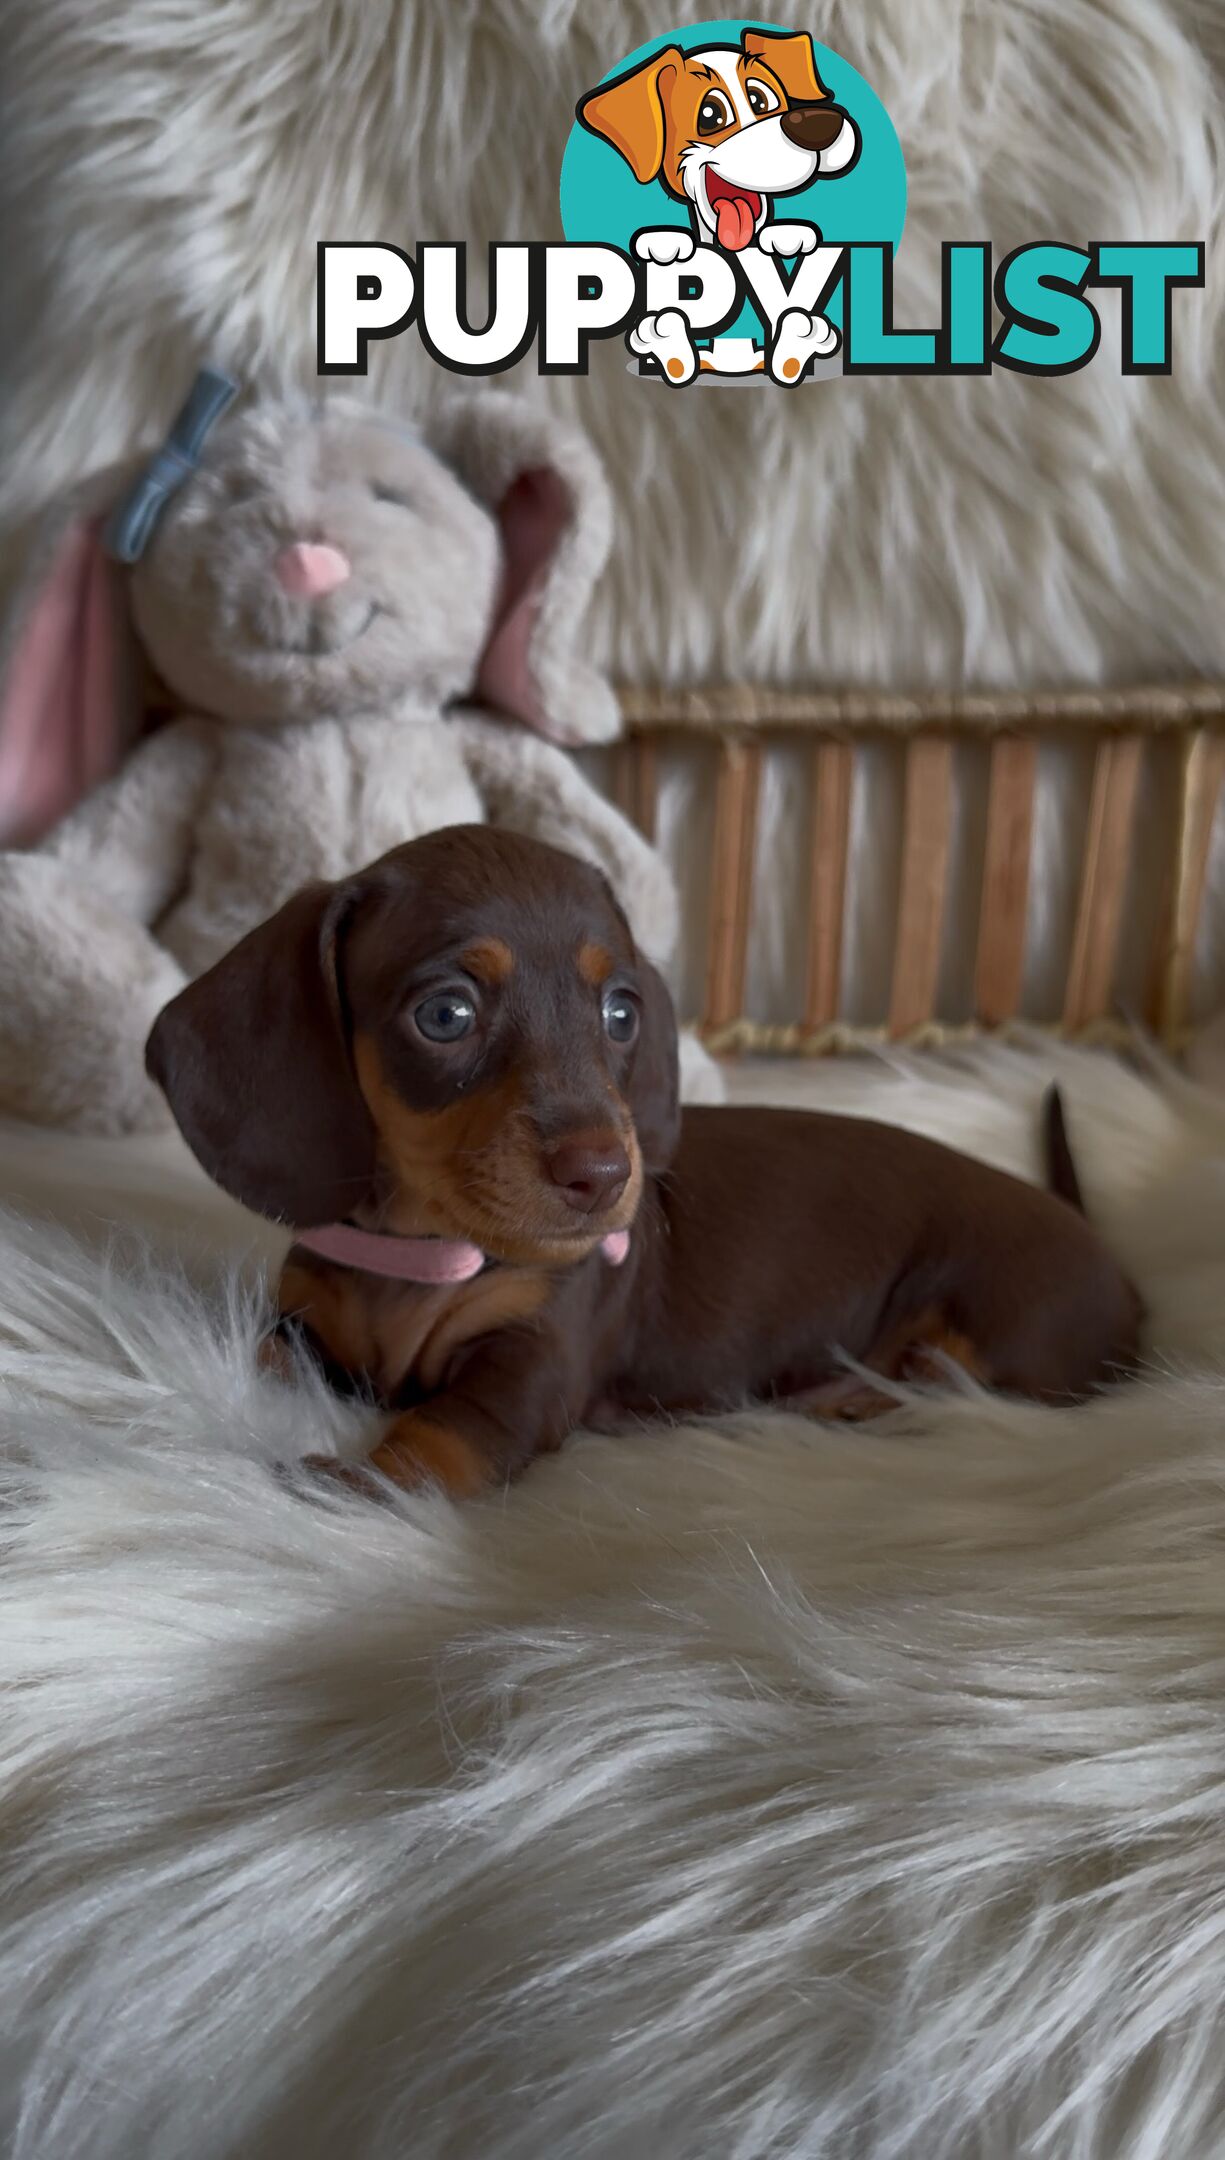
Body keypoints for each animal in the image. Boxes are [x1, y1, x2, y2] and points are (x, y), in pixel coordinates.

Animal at [149, 825, 1149, 1503]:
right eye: (445, 1015)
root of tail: (1095, 1237)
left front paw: (356, 1485)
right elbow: (265, 1353)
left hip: (1003, 1331)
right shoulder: (303, 1325)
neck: (425, 1250)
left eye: (620, 1013)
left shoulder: (537, 1356)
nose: (602, 1177)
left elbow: (447, 1430)